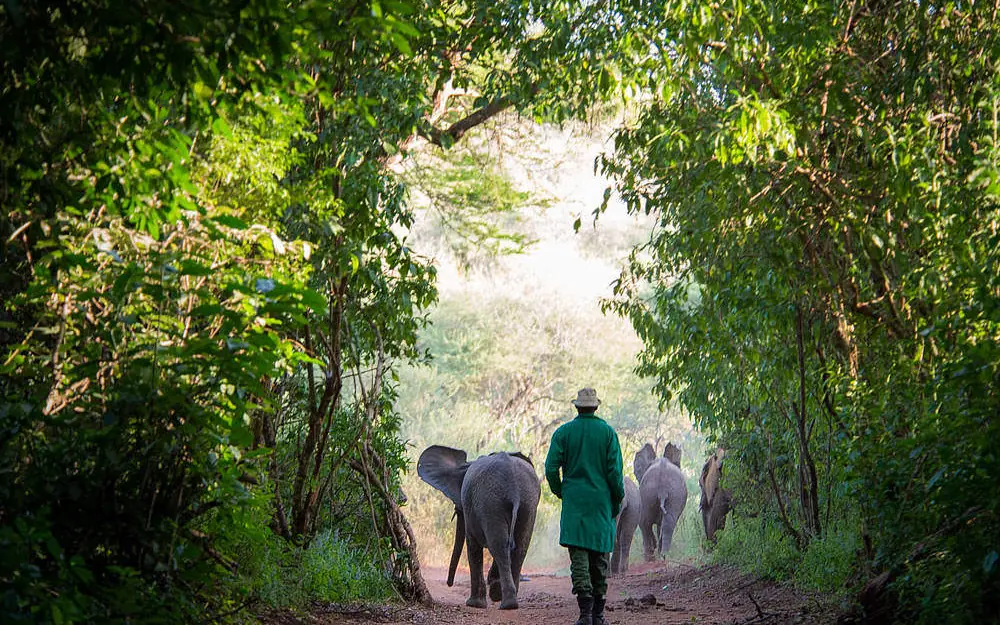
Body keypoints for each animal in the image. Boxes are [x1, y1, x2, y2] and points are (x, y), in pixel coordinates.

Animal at [417, 445, 540, 610]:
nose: (449, 583)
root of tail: (513, 488)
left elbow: (472, 547)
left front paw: (474, 604)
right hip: (528, 501)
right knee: (520, 547)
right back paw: (506, 600)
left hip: (490, 502)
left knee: (499, 546)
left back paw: (504, 602)